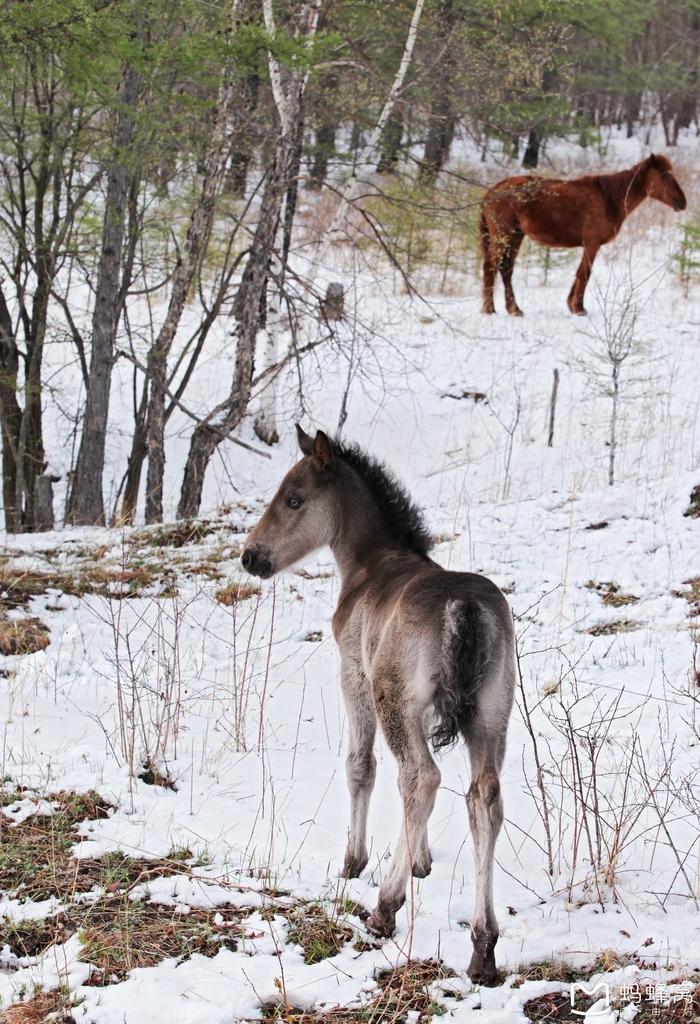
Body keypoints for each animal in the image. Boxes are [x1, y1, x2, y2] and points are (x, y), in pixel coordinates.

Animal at [240, 423, 513, 983]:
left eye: (294, 498)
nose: (251, 557)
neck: (370, 566)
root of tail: (465, 608)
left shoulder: (354, 676)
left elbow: (360, 766)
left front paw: (355, 860)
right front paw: (421, 863)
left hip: (395, 701)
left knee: (422, 776)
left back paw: (385, 908)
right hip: (491, 714)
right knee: (483, 798)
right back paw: (483, 947)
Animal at [478, 152, 687, 315]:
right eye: (664, 176)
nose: (682, 202)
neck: (608, 198)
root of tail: (493, 190)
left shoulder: (589, 245)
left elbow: (580, 273)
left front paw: (571, 305)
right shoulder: (592, 243)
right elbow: (585, 273)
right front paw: (578, 308)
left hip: (515, 236)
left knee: (506, 269)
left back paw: (514, 309)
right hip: (502, 236)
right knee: (490, 266)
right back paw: (489, 309)